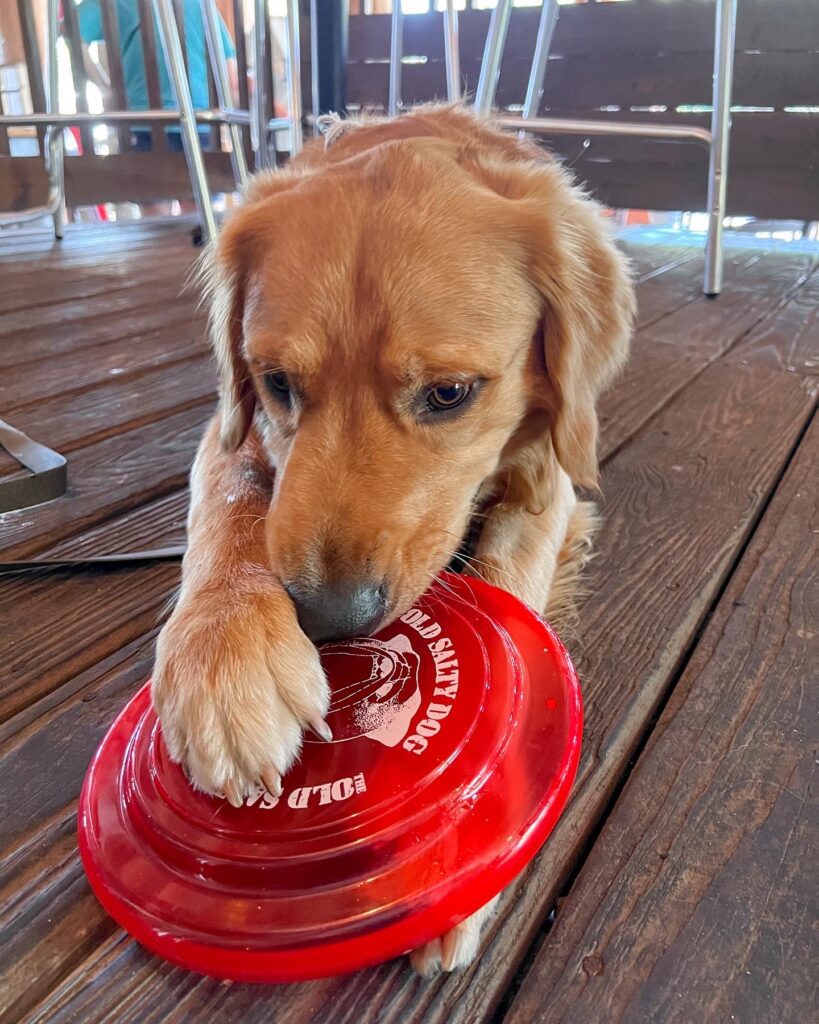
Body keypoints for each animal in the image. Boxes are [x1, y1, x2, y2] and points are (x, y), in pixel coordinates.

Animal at [155, 105, 638, 974]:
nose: (326, 619)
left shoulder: (550, 475)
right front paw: (225, 651)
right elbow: (230, 507)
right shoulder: (230, 428)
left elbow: (510, 581)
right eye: (276, 383)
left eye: (448, 394)